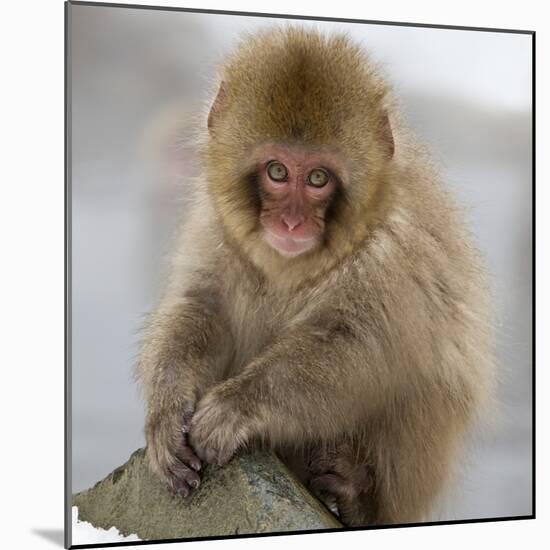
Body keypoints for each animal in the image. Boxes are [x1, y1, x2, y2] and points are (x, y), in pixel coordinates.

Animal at [137, 28, 496, 528]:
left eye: (319, 178)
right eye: (277, 171)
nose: (292, 223)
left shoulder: (393, 251)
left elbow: (355, 346)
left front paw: (237, 406)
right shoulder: (215, 226)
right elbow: (201, 306)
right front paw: (168, 407)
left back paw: (356, 496)